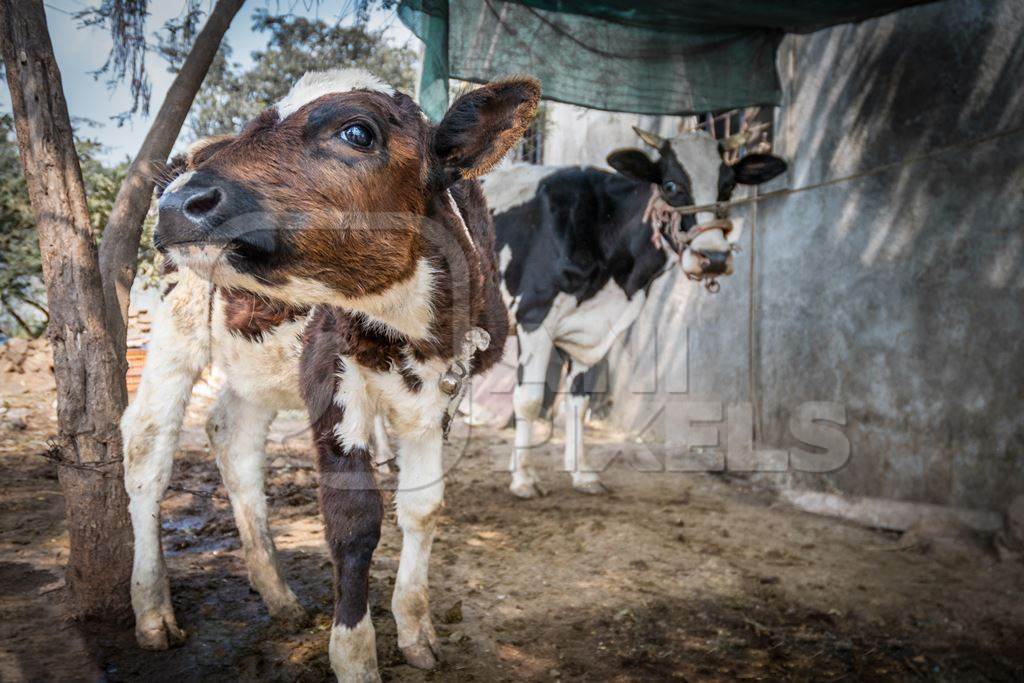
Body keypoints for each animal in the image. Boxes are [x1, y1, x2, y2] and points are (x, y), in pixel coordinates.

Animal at [121, 69, 544, 679]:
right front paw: (355, 655)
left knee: (232, 435)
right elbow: (354, 520)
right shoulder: (330, 374)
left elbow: (423, 507)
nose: (180, 201)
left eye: (356, 132)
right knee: (147, 449)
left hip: (255, 359)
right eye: (253, 129)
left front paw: (416, 630)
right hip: (177, 322)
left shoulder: (439, 398)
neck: (416, 332)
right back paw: (154, 611)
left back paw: (278, 596)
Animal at [483, 131, 786, 499]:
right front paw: (524, 478)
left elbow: (579, 403)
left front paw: (582, 473)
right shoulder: (533, 315)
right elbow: (528, 399)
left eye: (728, 186)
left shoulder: (595, 330)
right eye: (670, 185)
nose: (713, 257)